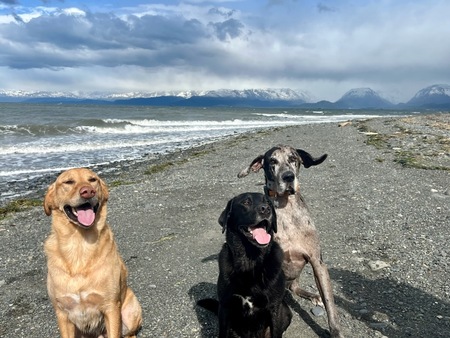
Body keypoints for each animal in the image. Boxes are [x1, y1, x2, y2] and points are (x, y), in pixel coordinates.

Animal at [43, 168, 142, 338]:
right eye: (68, 182)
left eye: (92, 179)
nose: (88, 191)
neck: (80, 245)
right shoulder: (62, 313)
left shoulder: (111, 308)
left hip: (131, 312)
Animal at [198, 193, 292, 338]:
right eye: (246, 202)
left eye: (268, 203)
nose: (266, 209)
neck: (250, 261)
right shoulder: (225, 306)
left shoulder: (274, 307)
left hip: (285, 310)